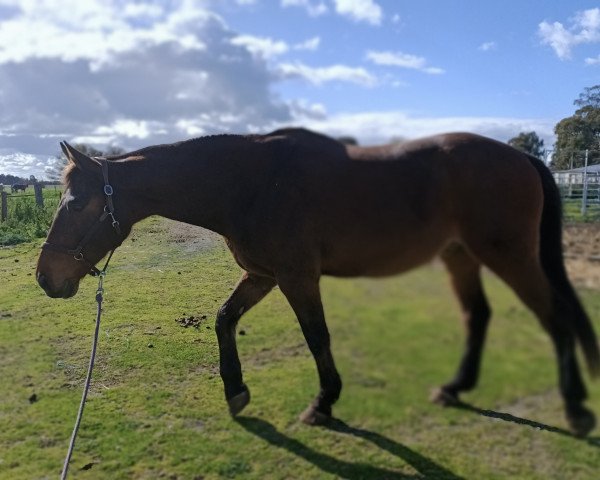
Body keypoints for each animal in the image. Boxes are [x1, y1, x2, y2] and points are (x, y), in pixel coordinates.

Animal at [36, 129, 600, 436]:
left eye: (78, 203)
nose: (46, 278)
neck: (251, 183)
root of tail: (522, 157)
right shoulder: (262, 275)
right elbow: (223, 319)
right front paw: (236, 391)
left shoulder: (296, 276)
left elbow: (316, 337)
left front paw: (323, 403)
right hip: (460, 257)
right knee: (478, 316)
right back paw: (455, 387)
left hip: (509, 256)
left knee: (553, 317)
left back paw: (575, 409)